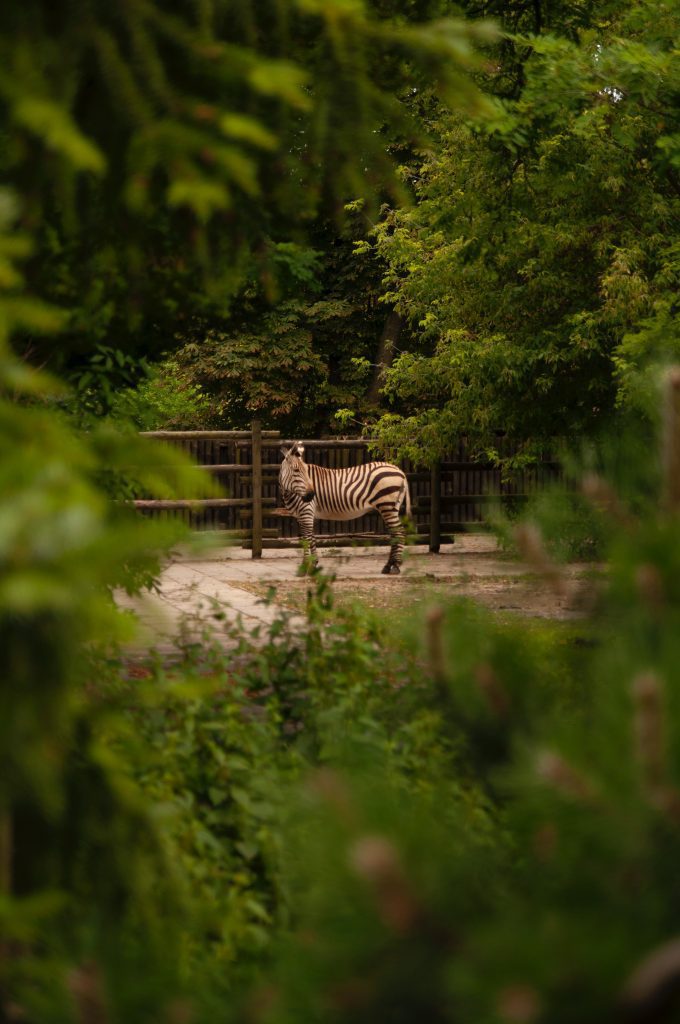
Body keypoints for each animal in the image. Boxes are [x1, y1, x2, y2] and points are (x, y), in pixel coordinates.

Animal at [278, 442, 411, 577]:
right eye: (296, 470)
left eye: (306, 471)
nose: (311, 495)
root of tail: (399, 470)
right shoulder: (303, 515)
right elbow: (312, 538)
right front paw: (314, 565)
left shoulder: (306, 512)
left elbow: (306, 539)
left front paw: (305, 567)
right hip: (391, 507)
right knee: (394, 533)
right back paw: (388, 566)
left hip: (387, 505)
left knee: (399, 532)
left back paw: (395, 566)